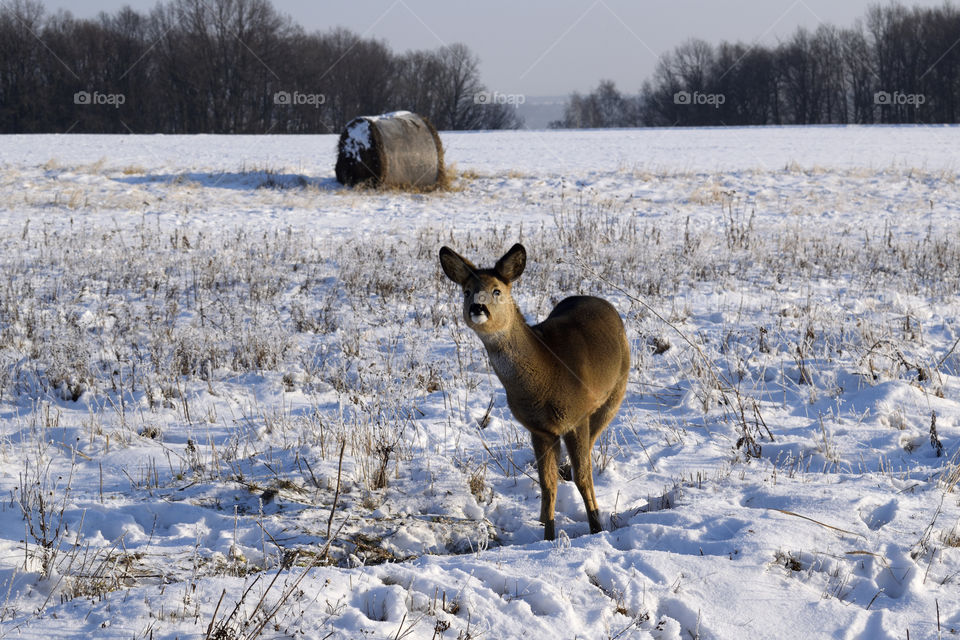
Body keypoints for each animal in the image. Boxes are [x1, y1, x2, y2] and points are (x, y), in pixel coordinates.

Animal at [439, 243, 630, 540]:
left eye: (497, 290)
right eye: (466, 291)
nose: (477, 308)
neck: (547, 372)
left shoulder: (576, 417)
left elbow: (582, 476)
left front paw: (596, 528)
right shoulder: (538, 429)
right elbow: (547, 483)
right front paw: (548, 534)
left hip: (614, 395)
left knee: (588, 454)